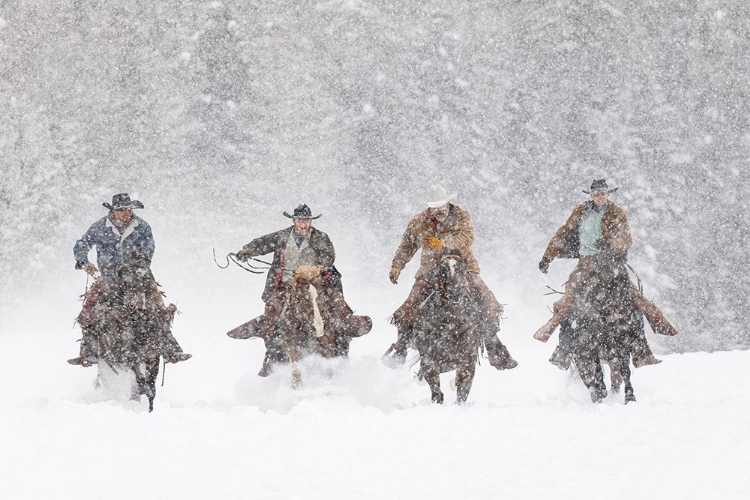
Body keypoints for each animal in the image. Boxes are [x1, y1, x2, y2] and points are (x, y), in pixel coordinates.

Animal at [412, 252, 488, 404]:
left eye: (461, 269)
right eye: (442, 270)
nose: (454, 293)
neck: (451, 324)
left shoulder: (468, 362)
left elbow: (462, 392)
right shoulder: (429, 360)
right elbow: (436, 388)